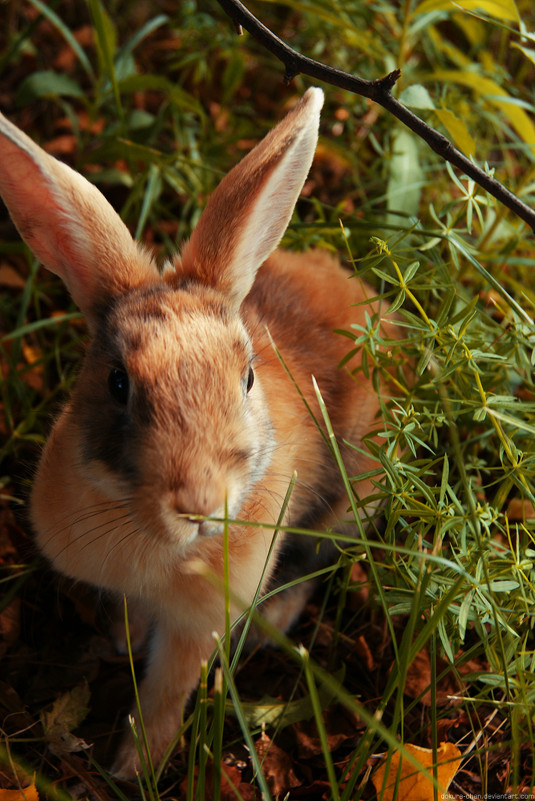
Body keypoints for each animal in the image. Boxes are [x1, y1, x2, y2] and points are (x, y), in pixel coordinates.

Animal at [0, 87, 398, 776]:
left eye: (247, 377)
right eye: (117, 383)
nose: (197, 504)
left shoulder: (199, 623)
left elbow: (168, 692)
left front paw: (134, 768)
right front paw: (121, 642)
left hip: (347, 498)